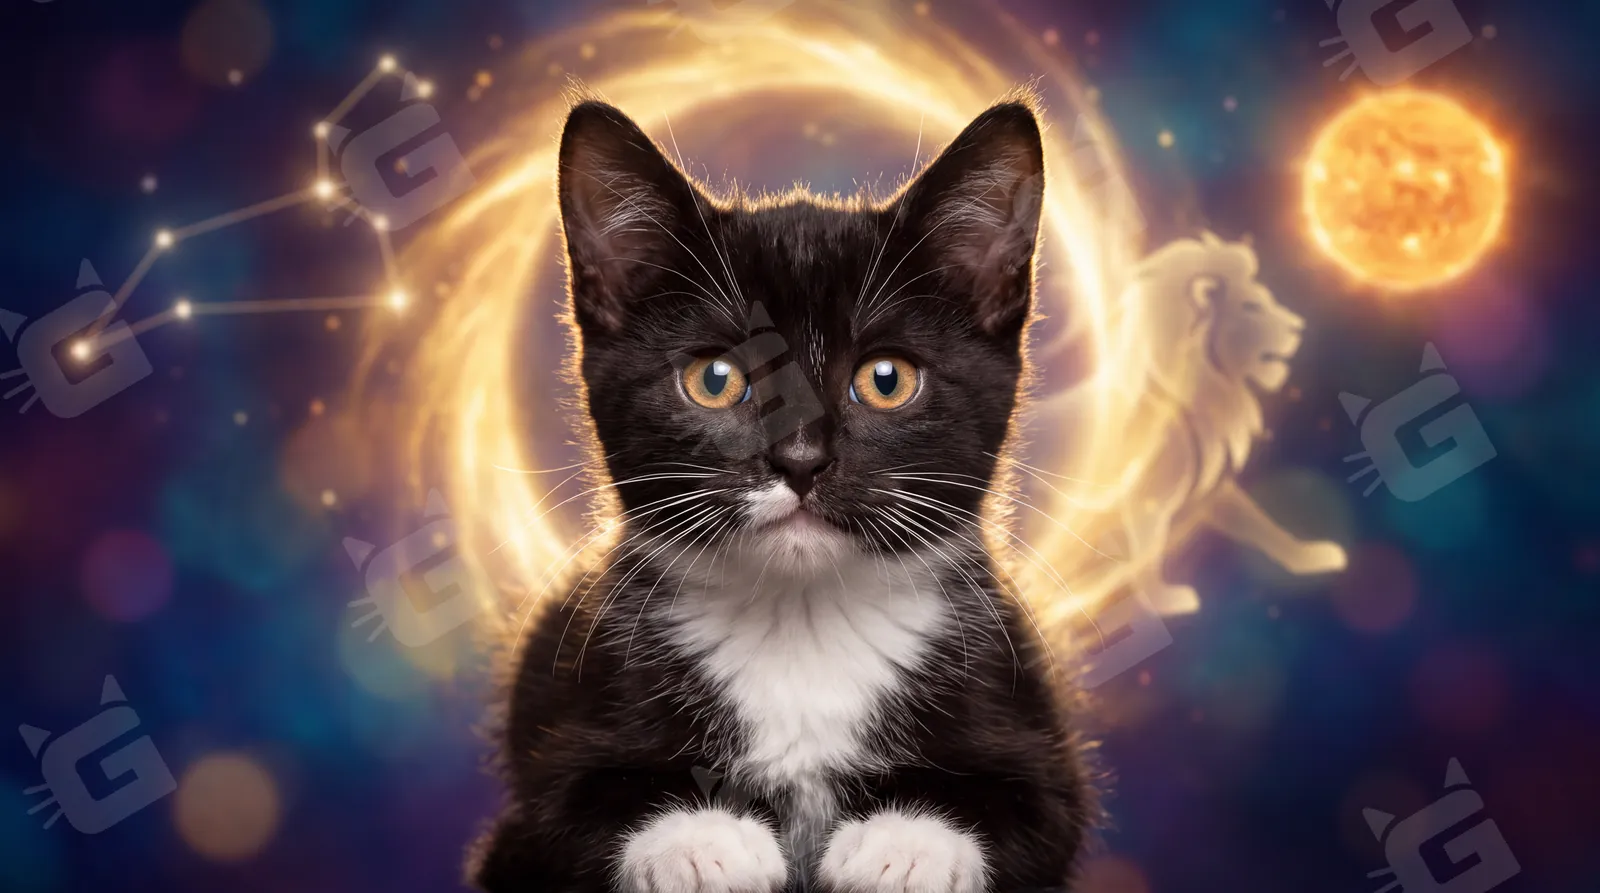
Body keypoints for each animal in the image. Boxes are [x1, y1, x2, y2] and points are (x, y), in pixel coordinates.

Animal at [1093, 232, 1348, 616]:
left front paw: (1310, 557)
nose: (1299, 326)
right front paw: (1164, 601)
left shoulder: (1208, 486)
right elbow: (1146, 551)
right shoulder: (1148, 500)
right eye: (1252, 307)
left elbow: (1261, 525)